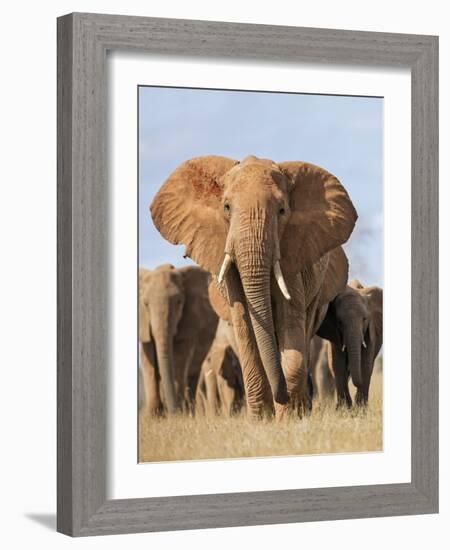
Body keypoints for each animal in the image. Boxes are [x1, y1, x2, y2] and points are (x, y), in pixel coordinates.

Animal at [140, 266, 219, 416]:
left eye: (179, 302)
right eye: (145, 304)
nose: (172, 412)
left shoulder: (190, 320)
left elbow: (179, 358)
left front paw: (178, 415)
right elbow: (148, 361)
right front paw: (154, 416)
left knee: (192, 375)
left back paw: (189, 411)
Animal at [151, 155, 358, 422]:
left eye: (282, 210)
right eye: (226, 207)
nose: (283, 398)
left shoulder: (294, 255)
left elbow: (290, 325)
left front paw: (288, 418)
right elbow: (245, 327)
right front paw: (261, 420)